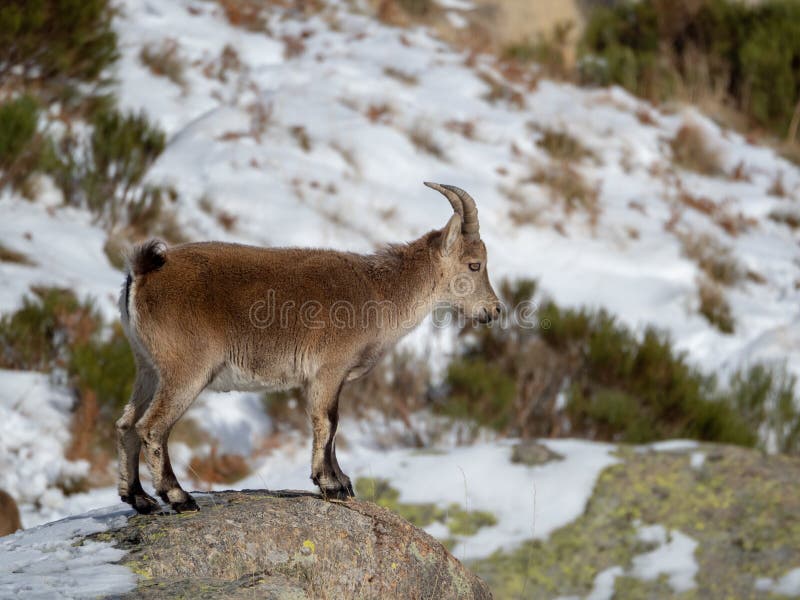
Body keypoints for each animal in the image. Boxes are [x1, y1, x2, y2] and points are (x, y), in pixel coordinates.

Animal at [117, 183, 501, 513]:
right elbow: (327, 421)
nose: (494, 310)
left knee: (126, 424)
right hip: (187, 370)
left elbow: (332, 425)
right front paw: (331, 484)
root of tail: (143, 273)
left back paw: (138, 499)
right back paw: (178, 497)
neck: (379, 293)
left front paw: (341, 480)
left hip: (148, 367)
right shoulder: (329, 369)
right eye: (474, 265)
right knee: (152, 427)